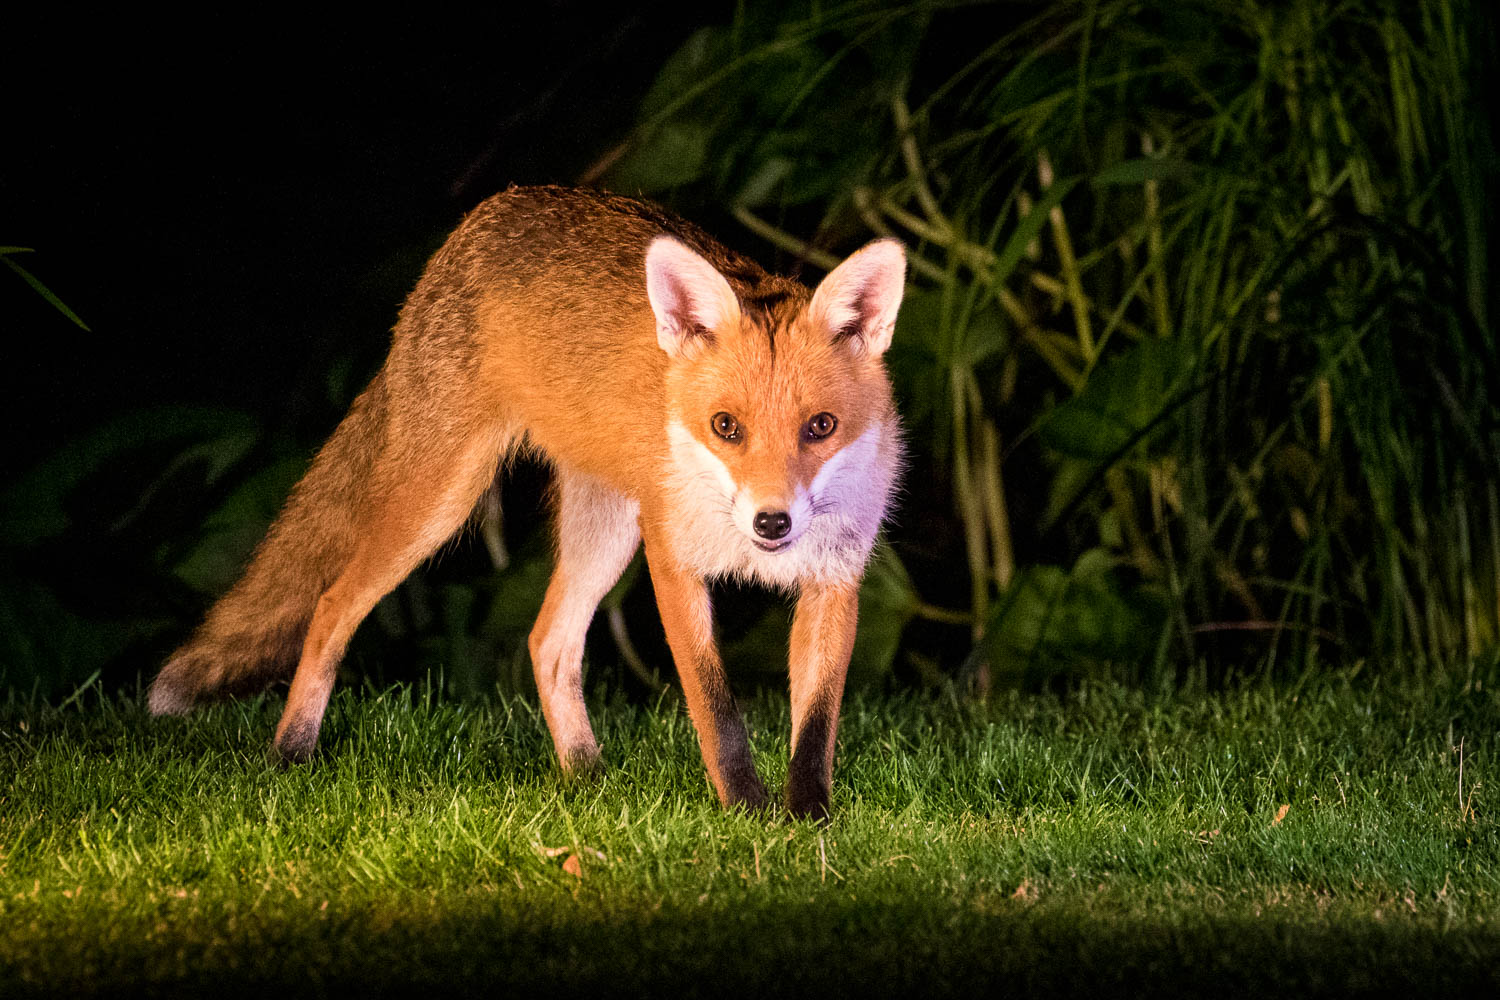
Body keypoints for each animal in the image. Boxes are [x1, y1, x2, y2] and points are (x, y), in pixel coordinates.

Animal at [148, 185, 906, 818]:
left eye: (820, 428)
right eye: (727, 427)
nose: (771, 521)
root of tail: (489, 212)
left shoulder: (836, 581)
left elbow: (815, 725)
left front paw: (809, 823)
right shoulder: (673, 561)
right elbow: (717, 710)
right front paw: (748, 814)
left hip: (605, 532)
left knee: (548, 642)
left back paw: (585, 774)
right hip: (442, 501)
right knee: (333, 605)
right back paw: (292, 751)